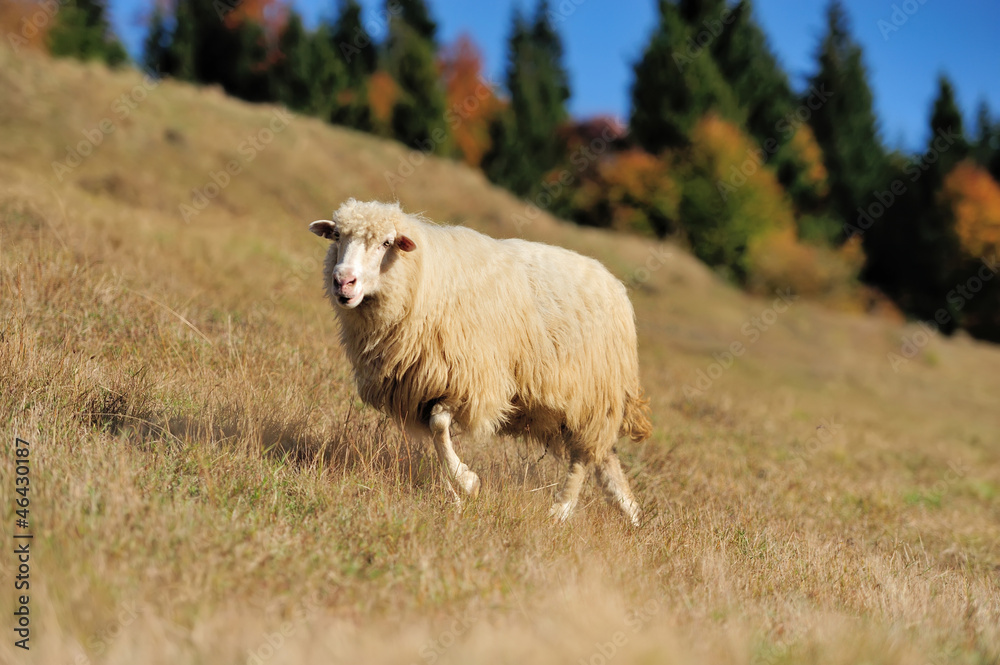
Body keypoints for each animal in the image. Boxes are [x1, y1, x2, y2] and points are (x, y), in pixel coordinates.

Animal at [312, 198, 656, 524]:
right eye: (338, 236)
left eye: (386, 243)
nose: (343, 281)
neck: (423, 279)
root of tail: (613, 283)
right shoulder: (415, 394)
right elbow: (431, 440)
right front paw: (451, 495)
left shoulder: (466, 378)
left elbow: (439, 427)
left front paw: (467, 482)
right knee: (605, 456)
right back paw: (630, 511)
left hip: (592, 397)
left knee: (584, 457)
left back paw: (562, 510)